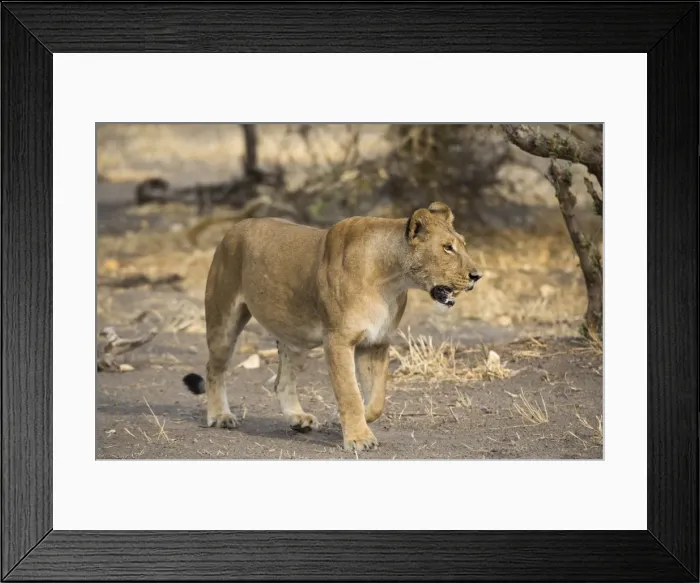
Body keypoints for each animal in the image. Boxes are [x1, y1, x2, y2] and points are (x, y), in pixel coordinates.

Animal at [183, 201, 482, 451]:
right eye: (447, 247)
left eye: (463, 244)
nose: (477, 276)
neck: (391, 279)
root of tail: (234, 227)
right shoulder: (338, 340)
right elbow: (349, 392)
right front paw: (359, 439)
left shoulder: (375, 342)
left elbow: (376, 399)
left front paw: (345, 422)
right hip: (224, 318)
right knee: (214, 368)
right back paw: (220, 416)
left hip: (295, 336)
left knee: (282, 381)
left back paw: (297, 418)